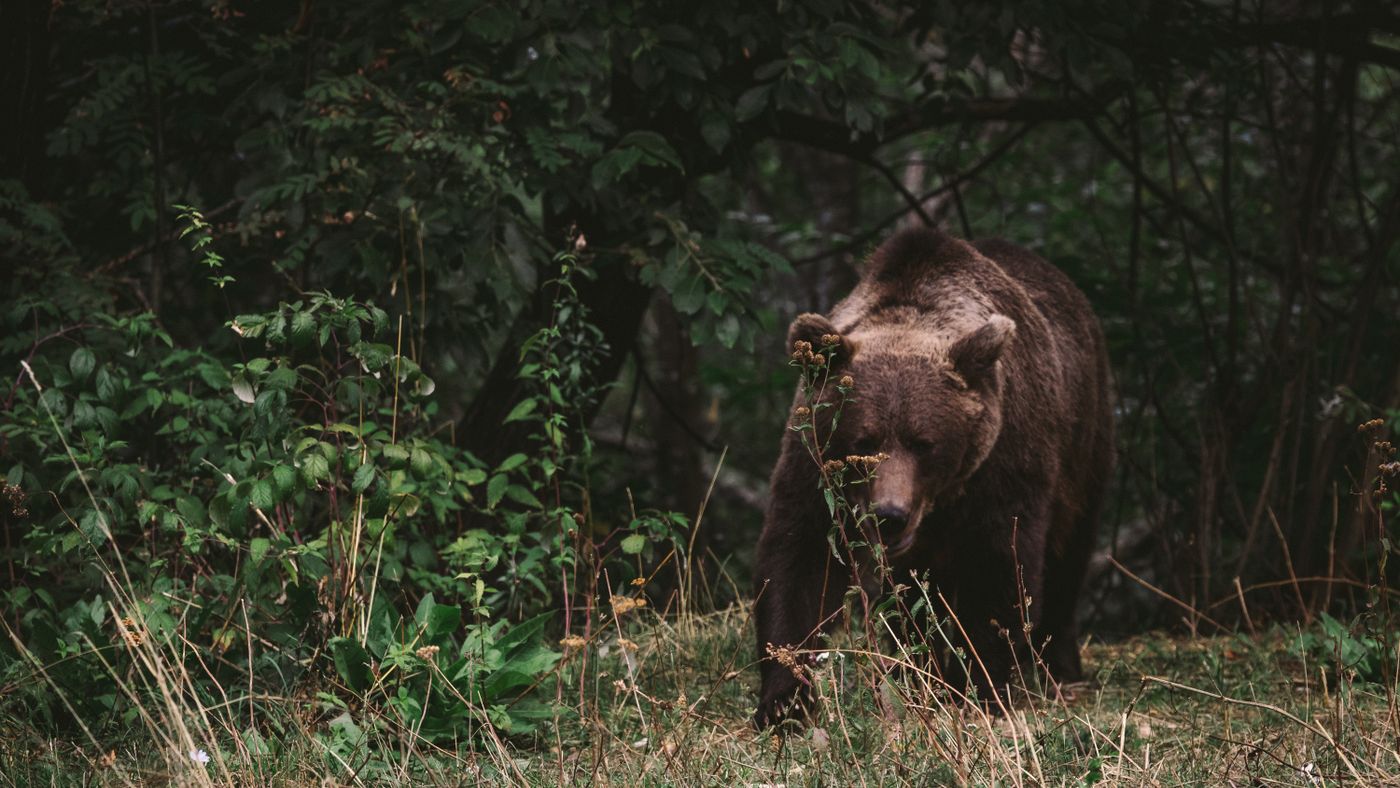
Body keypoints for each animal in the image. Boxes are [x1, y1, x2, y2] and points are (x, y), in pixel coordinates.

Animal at [753, 227, 1113, 728]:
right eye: (864, 440)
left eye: (924, 442)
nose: (890, 515)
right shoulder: (814, 463)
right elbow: (800, 557)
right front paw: (785, 698)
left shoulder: (1004, 464)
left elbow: (1000, 566)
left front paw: (976, 686)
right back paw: (911, 666)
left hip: (1084, 438)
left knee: (1069, 551)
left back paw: (1058, 664)